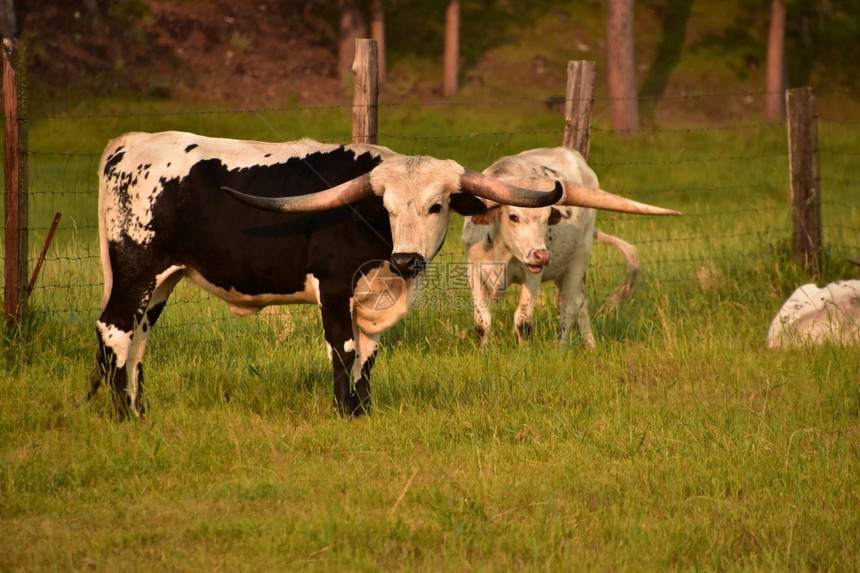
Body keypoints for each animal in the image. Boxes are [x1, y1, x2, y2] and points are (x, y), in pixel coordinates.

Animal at [90, 131, 676, 416]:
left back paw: (131, 405)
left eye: (439, 205)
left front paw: (366, 408)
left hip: (163, 280)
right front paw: (345, 410)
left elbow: (369, 352)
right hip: (138, 266)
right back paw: (123, 414)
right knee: (115, 329)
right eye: (386, 206)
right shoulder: (333, 288)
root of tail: (129, 143)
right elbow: (344, 347)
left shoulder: (378, 296)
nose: (408, 261)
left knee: (137, 339)